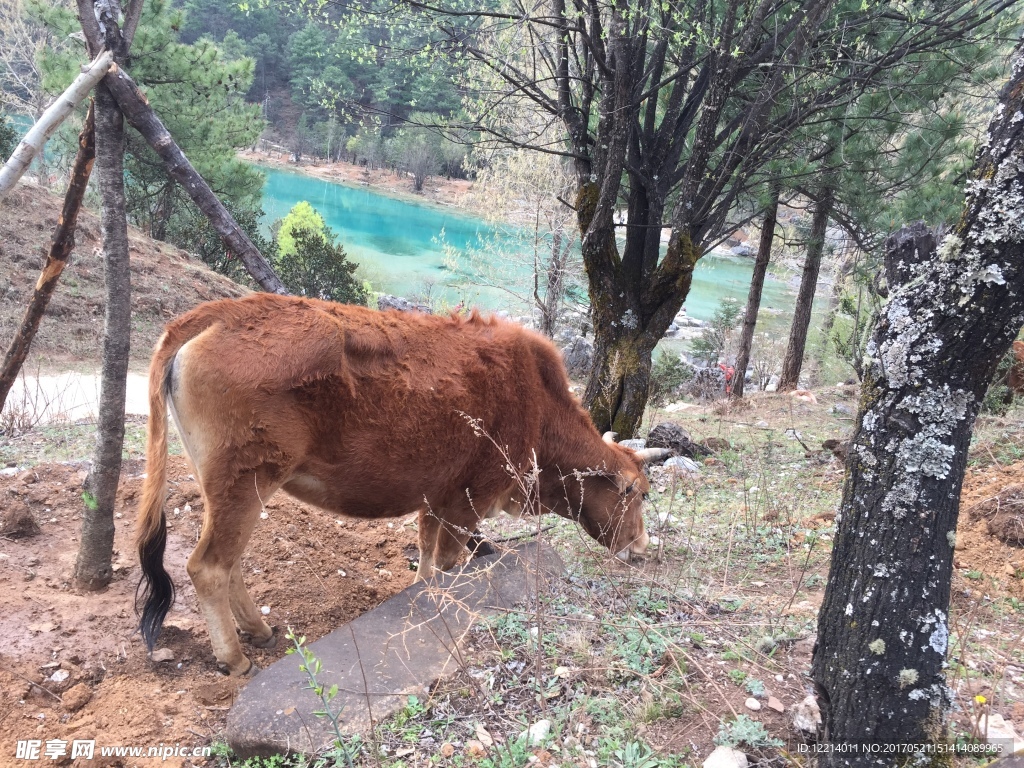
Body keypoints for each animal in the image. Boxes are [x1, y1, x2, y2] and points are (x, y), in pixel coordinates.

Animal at [136, 294, 659, 671]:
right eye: (639, 493)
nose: (642, 546)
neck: (537, 404)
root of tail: (226, 311)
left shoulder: (435, 501)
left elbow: (426, 562)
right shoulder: (466, 503)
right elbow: (446, 565)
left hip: (229, 490)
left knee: (232, 563)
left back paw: (258, 630)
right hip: (245, 483)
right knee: (209, 567)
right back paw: (234, 657)